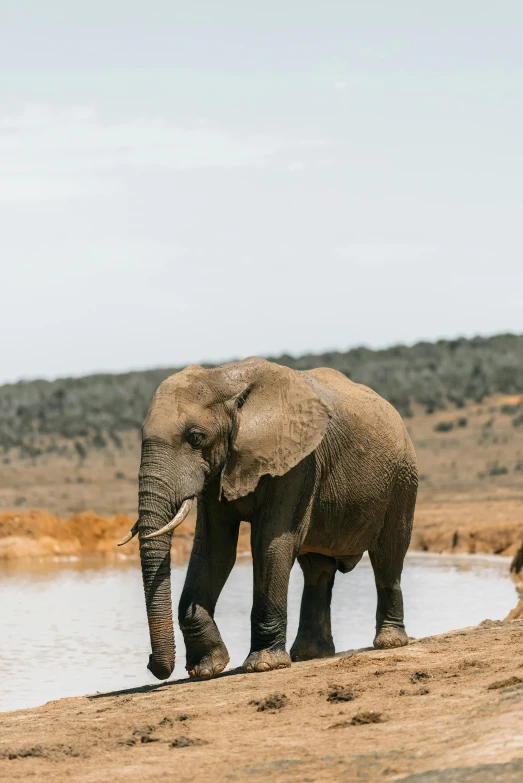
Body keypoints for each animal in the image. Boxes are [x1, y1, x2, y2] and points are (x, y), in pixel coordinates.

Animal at [118, 356, 418, 680]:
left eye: (195, 437)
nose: (151, 664)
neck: (223, 379)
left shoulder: (297, 463)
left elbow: (270, 543)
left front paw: (263, 665)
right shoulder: (218, 471)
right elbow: (214, 550)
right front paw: (207, 669)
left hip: (403, 478)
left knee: (388, 555)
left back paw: (389, 642)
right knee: (317, 571)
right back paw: (309, 654)